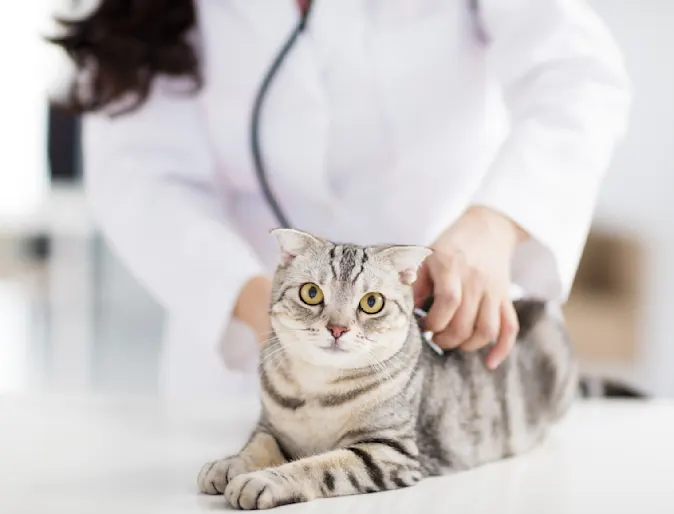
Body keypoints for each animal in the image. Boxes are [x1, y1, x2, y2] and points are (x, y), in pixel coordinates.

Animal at [197, 229, 576, 508]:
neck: (318, 390)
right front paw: (228, 464)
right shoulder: (271, 427)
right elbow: (255, 446)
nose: (337, 328)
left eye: (371, 302)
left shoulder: (388, 451)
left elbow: (318, 465)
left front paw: (262, 479)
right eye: (311, 293)